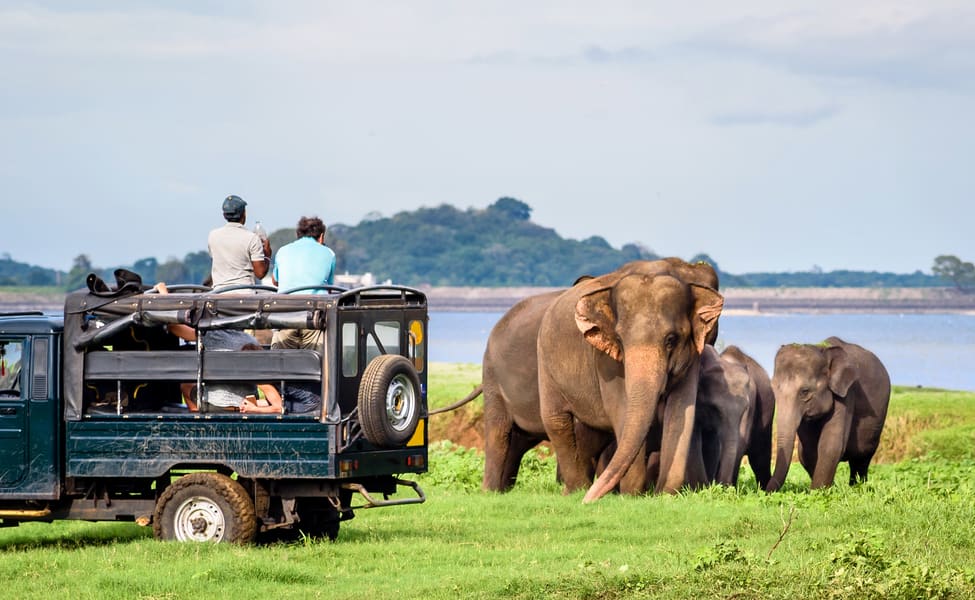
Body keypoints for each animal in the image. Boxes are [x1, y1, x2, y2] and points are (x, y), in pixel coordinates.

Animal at [484, 258, 720, 492]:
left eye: (671, 339)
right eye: (620, 339)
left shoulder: (692, 355)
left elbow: (682, 412)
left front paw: (665, 493)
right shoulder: (606, 361)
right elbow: (621, 411)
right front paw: (632, 495)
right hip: (527, 368)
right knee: (542, 423)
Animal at [768, 336, 896, 490]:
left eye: (805, 391)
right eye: (773, 389)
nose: (764, 491)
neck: (823, 350)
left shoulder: (846, 392)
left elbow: (830, 444)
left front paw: (818, 491)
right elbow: (807, 451)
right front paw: (828, 489)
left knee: (862, 458)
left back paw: (857, 487)